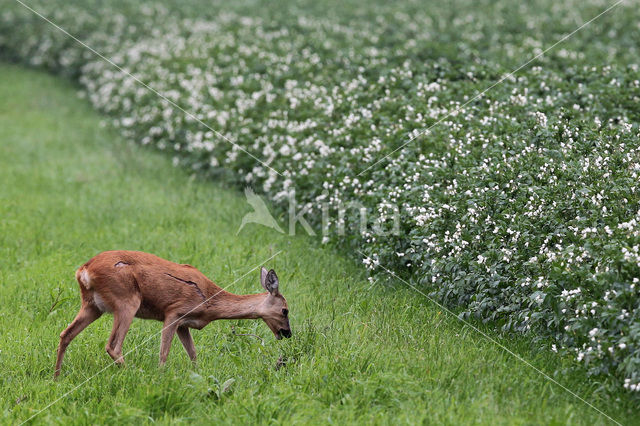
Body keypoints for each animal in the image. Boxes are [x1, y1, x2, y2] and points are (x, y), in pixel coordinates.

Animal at [53, 251, 292, 378]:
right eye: (285, 310)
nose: (287, 333)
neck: (210, 301)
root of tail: (84, 270)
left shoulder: (184, 324)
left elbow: (193, 354)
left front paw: (198, 376)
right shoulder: (174, 312)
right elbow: (164, 352)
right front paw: (160, 377)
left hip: (92, 305)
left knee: (66, 334)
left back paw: (56, 377)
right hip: (126, 300)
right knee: (113, 345)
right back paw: (134, 373)